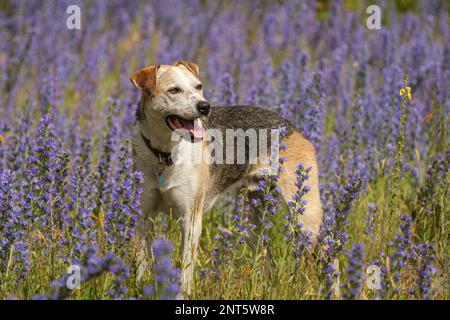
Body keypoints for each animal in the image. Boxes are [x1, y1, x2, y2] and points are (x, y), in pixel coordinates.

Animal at [130, 60, 324, 296]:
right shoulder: (143, 216)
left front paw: (182, 294)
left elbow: (185, 270)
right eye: (174, 90)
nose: (205, 107)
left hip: (307, 218)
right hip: (253, 220)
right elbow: (141, 265)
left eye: (199, 86)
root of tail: (290, 126)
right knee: (268, 259)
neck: (164, 154)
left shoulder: (190, 220)